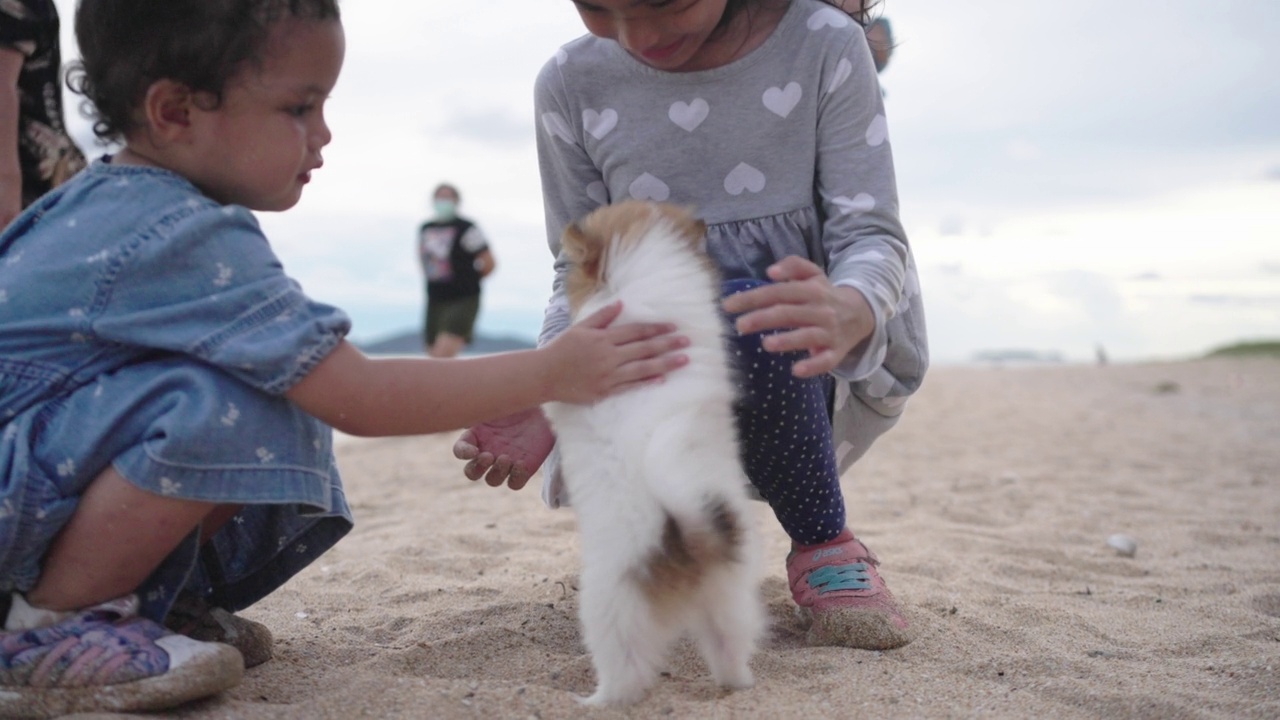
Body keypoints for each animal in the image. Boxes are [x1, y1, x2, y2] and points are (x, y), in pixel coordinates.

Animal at [542, 198, 762, 702]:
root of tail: (689, 532)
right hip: (728, 595)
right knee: (731, 650)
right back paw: (735, 685)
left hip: (608, 604)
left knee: (623, 672)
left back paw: (594, 701)